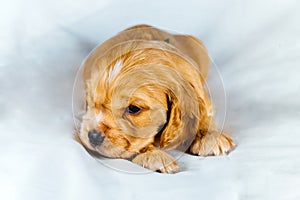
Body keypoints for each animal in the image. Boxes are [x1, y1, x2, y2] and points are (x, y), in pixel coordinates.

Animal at [76, 24, 236, 172]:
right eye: (91, 101)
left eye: (134, 108)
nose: (93, 136)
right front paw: (154, 156)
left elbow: (204, 111)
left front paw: (209, 137)